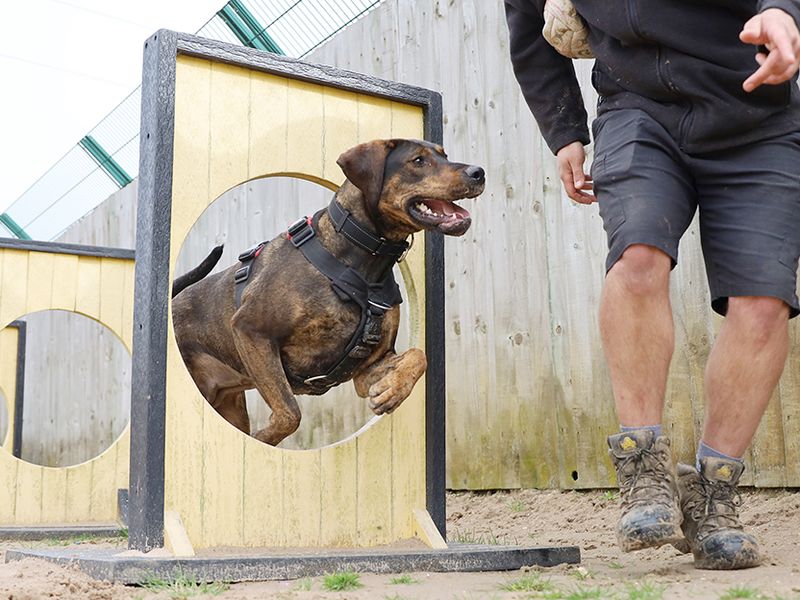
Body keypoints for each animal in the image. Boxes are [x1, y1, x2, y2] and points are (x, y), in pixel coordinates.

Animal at [172, 138, 484, 442]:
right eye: (418, 160)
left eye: (444, 155)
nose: (479, 172)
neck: (363, 258)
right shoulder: (251, 330)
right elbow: (290, 413)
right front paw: (265, 436)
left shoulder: (366, 368)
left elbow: (419, 356)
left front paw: (391, 391)